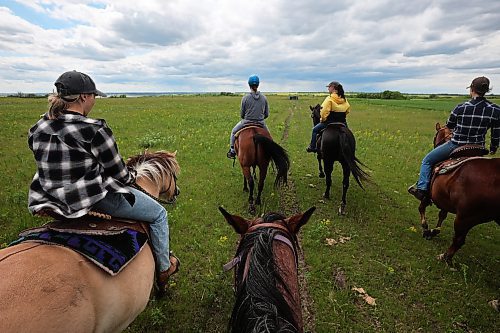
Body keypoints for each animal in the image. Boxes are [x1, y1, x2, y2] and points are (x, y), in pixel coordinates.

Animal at [418, 123, 500, 264]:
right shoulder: (444, 199)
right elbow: (442, 215)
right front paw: (433, 231)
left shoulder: (428, 194)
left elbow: (422, 207)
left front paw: (426, 227)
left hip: (464, 218)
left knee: (458, 240)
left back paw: (444, 256)